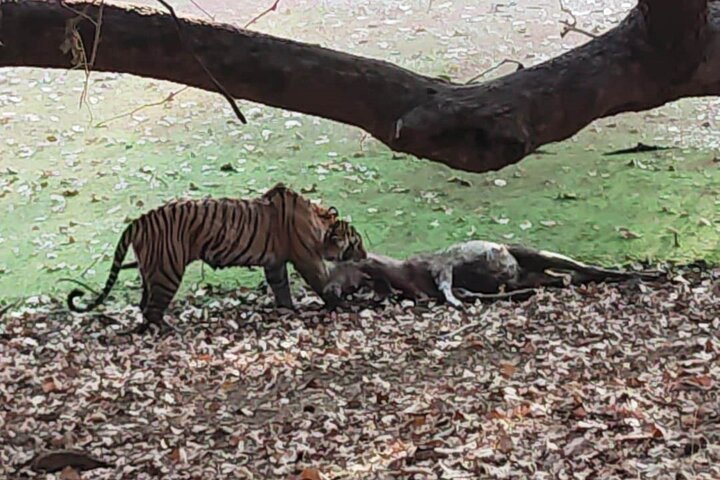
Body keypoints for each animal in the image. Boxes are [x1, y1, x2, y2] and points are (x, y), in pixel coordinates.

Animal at [67, 183, 366, 333]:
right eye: (358, 242)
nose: (364, 255)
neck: (321, 223)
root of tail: (139, 220)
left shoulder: (275, 263)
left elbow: (281, 287)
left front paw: (287, 308)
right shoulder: (307, 259)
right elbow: (321, 281)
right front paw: (339, 303)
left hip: (150, 271)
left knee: (144, 305)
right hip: (168, 271)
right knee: (152, 309)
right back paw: (170, 329)